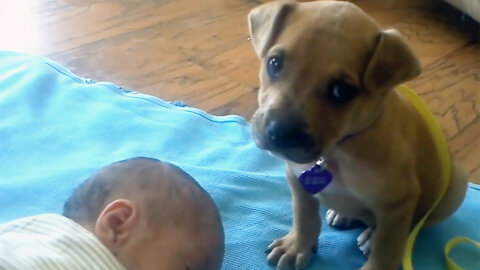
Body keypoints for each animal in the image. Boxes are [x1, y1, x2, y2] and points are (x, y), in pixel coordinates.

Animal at [249, 0, 466, 270]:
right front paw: (297, 245)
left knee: (413, 225)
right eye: (274, 63)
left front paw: (377, 257)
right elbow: (304, 215)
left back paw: (371, 236)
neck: (340, 149)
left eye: (342, 91)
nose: (279, 133)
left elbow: (387, 247)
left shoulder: (398, 203)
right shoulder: (297, 181)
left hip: (455, 187)